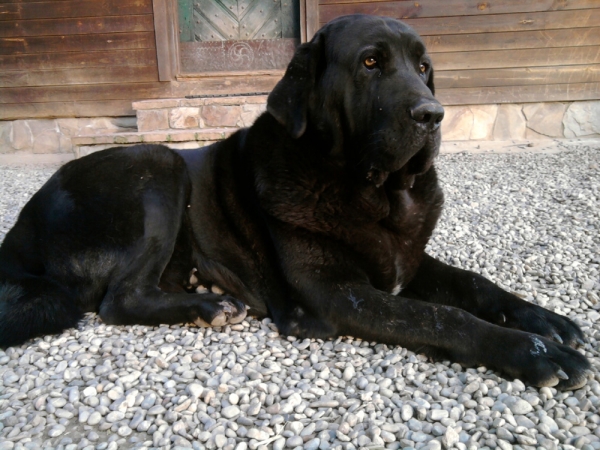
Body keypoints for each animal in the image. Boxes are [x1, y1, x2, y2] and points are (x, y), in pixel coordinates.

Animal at [0, 15, 592, 388]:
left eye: (424, 68)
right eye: (371, 63)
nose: (432, 114)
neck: (375, 195)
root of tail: (18, 233)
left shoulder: (407, 260)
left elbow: (473, 285)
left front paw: (545, 322)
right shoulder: (336, 293)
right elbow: (441, 317)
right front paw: (531, 352)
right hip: (158, 166)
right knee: (118, 300)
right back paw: (209, 307)